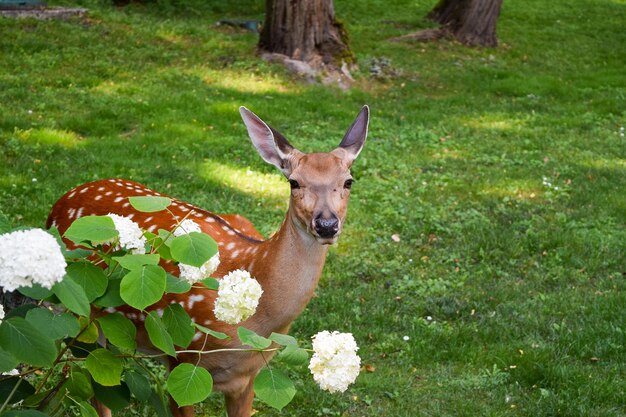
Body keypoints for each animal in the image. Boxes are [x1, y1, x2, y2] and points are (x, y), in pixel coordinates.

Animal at [47, 105, 366, 416]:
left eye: (348, 181)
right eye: (294, 182)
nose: (326, 225)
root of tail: (61, 201)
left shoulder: (249, 375)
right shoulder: (181, 355)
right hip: (78, 312)